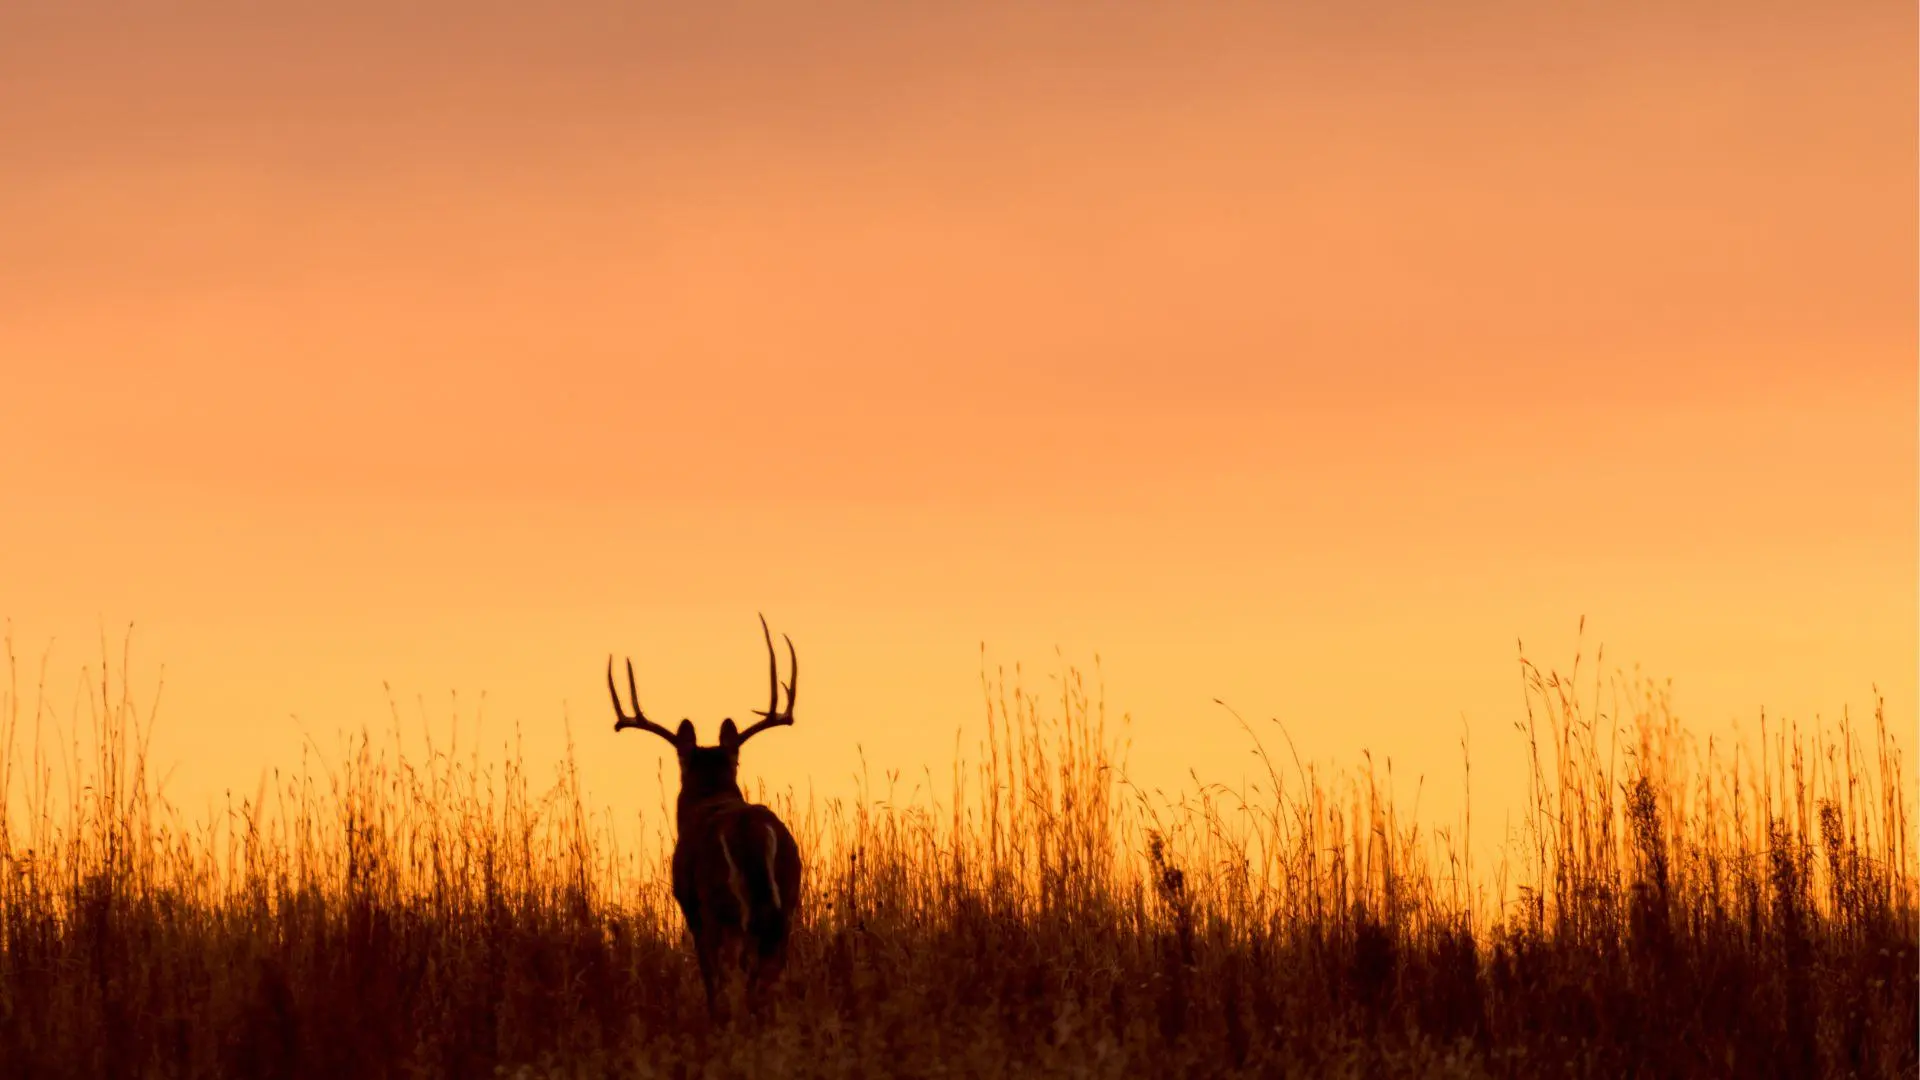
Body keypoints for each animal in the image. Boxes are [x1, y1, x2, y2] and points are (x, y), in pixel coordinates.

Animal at [607, 614, 804, 1022]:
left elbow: (710, 976)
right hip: (788, 898)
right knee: (769, 969)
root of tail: (753, 829)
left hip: (719, 903)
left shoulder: (692, 908)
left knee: (736, 973)